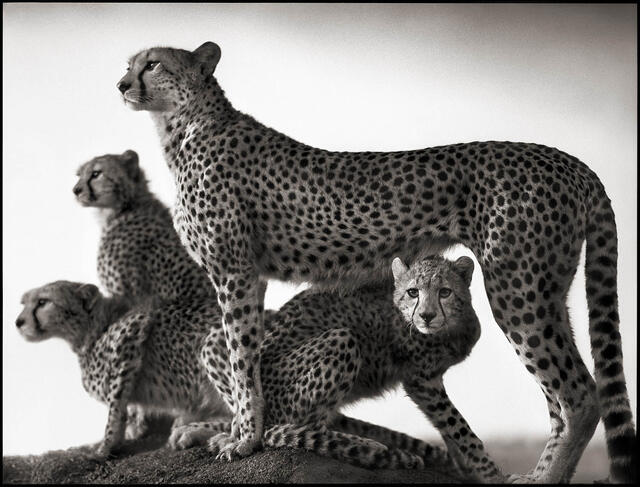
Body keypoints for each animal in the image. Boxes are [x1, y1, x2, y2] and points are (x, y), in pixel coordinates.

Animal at [15, 280, 230, 457]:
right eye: (24, 304)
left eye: (43, 302)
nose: (18, 322)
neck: (93, 327)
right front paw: (133, 430)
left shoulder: (134, 326)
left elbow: (115, 405)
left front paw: (106, 446)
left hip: (212, 344)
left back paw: (202, 433)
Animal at [169, 256, 499, 480]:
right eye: (413, 292)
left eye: (444, 292)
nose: (427, 316)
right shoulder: (422, 380)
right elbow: (459, 427)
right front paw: (489, 471)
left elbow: (448, 430)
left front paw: (465, 468)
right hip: (342, 340)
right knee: (290, 429)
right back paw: (375, 448)